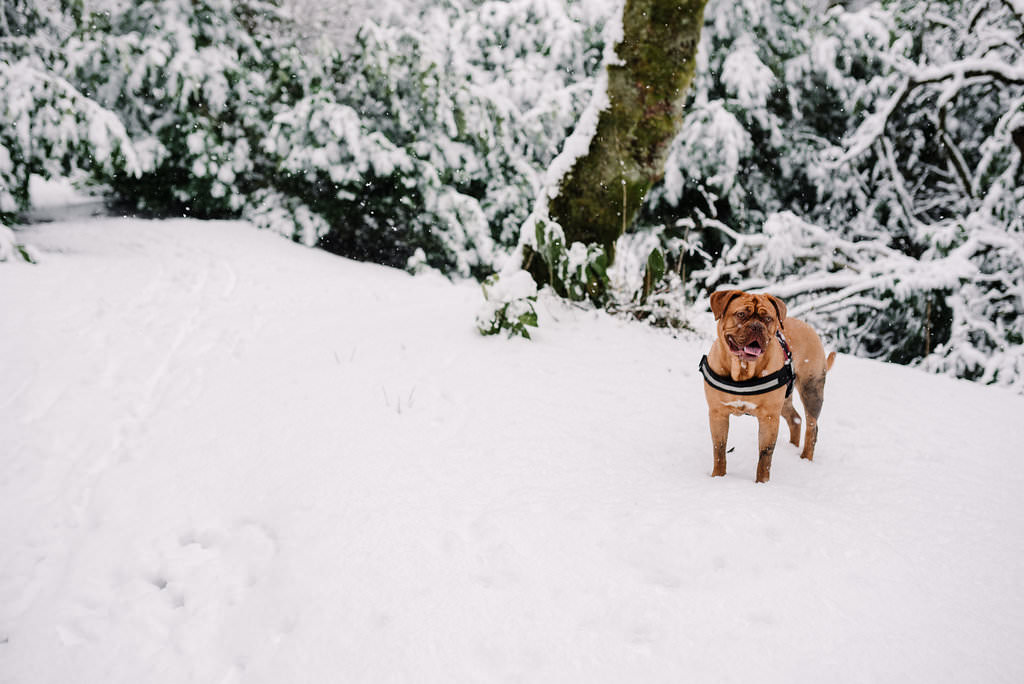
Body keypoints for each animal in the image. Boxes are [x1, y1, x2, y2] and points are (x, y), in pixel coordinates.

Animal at [700, 288, 835, 481]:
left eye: (768, 318)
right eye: (741, 314)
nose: (757, 326)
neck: (743, 369)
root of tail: (807, 326)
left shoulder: (769, 417)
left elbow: (765, 455)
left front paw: (762, 483)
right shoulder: (718, 413)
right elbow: (719, 449)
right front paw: (718, 477)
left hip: (812, 390)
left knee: (812, 427)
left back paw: (805, 458)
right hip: (785, 400)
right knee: (795, 419)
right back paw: (793, 447)